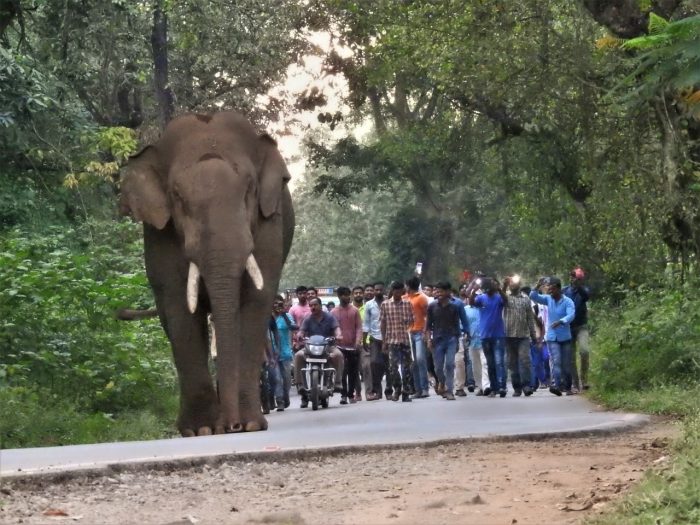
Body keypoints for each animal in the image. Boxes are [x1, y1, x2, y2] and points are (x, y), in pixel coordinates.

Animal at [119, 110, 294, 434]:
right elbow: (179, 307)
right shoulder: (159, 235)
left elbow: (256, 302)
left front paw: (251, 425)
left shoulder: (270, 222)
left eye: (250, 189)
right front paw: (201, 430)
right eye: (177, 196)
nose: (232, 426)